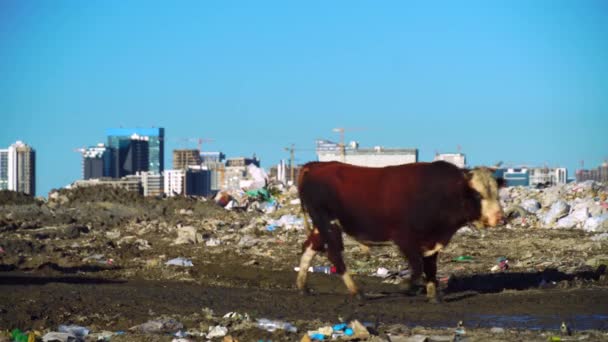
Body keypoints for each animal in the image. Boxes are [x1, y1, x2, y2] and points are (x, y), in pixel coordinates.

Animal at [294, 160, 504, 302]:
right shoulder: (405, 239)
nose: (501, 218)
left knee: (309, 248)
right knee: (334, 255)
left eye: (496, 192)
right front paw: (406, 286)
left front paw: (433, 296)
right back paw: (356, 291)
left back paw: (303, 287)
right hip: (328, 222)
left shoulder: (432, 240)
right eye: (477, 194)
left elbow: (430, 268)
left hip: (321, 226)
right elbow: (418, 267)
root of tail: (316, 166)